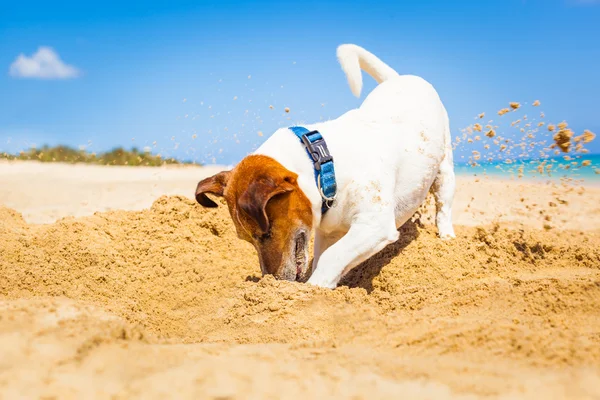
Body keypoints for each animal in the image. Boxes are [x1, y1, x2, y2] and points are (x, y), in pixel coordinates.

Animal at [196, 43, 454, 288]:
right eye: (247, 239)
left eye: (266, 233)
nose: (272, 280)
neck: (324, 167)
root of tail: (399, 78)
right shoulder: (327, 231)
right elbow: (324, 258)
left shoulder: (374, 223)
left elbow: (332, 257)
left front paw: (315, 287)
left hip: (445, 168)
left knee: (444, 205)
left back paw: (447, 238)